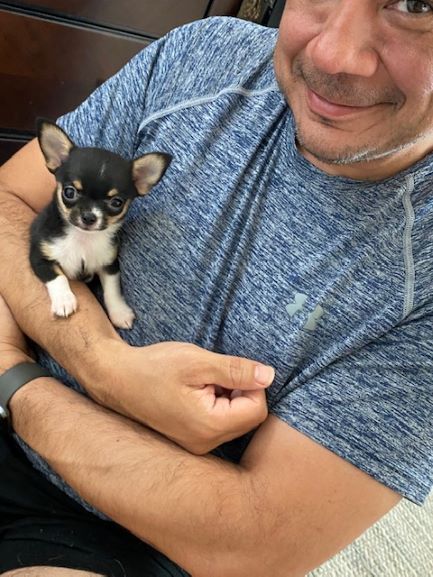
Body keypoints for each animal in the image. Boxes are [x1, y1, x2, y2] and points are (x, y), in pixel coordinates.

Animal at [30, 120, 170, 328]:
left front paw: (120, 312)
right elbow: (57, 277)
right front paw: (64, 301)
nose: (89, 216)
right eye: (69, 192)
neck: (82, 238)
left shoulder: (109, 264)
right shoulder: (39, 257)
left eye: (117, 203)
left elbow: (112, 290)